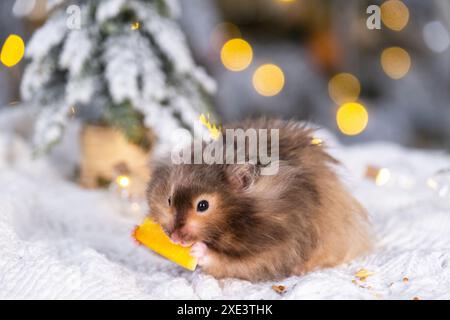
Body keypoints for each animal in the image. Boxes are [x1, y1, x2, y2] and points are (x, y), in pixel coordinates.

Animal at [146, 119, 370, 282]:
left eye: (203, 205)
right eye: (169, 200)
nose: (174, 239)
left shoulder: (274, 248)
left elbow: (228, 261)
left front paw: (197, 249)